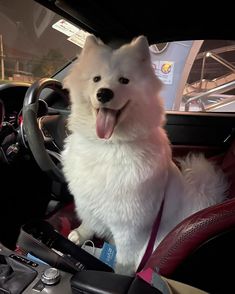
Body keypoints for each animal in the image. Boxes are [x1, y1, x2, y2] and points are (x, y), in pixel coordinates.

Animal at [61, 35, 228, 276]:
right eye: (96, 79)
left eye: (124, 80)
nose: (104, 93)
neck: (109, 145)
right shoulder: (88, 199)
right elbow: (89, 221)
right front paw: (80, 235)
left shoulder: (129, 226)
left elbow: (125, 256)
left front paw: (120, 272)